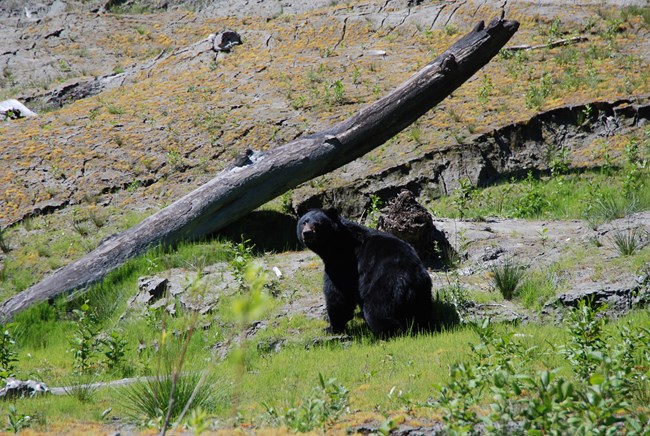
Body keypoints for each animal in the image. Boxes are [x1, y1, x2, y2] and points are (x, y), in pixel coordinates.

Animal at [296, 208, 432, 338]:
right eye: (304, 222)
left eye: (318, 224)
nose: (307, 233)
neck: (336, 244)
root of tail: (411, 281)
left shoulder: (343, 263)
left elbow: (337, 294)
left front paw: (331, 328)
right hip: (422, 295)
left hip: (386, 287)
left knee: (376, 312)